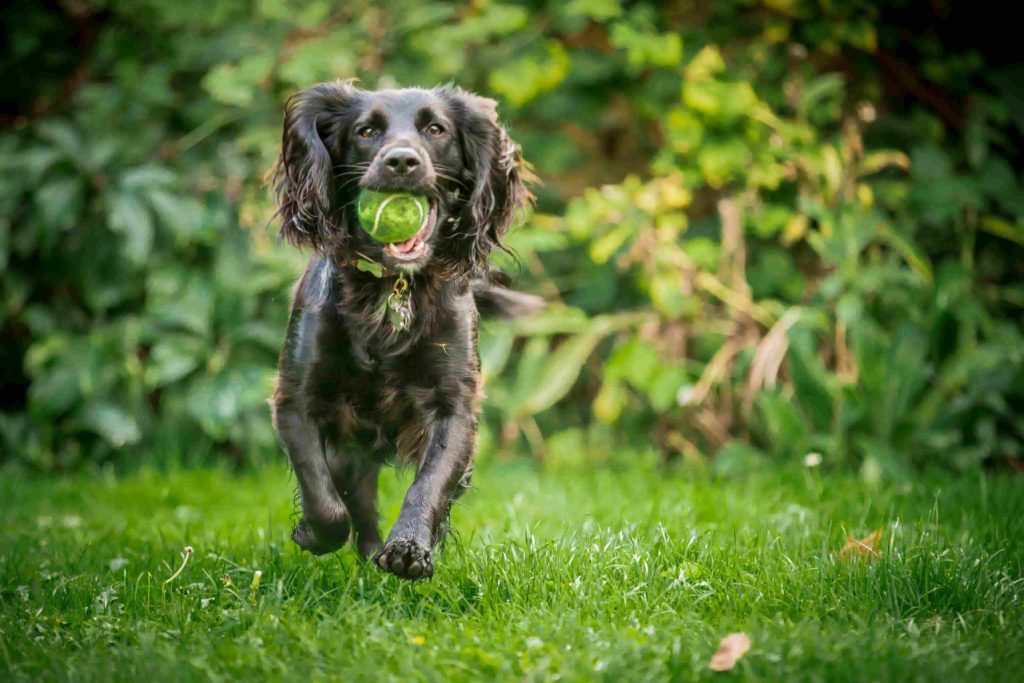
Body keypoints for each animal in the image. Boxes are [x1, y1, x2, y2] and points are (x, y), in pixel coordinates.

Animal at [268, 81, 540, 581]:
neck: (392, 287)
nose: (401, 162)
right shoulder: (296, 399)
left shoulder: (454, 405)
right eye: (366, 131)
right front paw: (313, 533)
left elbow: (430, 483)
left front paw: (410, 547)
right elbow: (324, 499)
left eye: (436, 129)